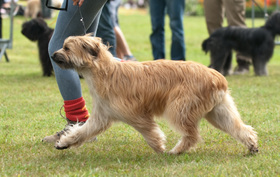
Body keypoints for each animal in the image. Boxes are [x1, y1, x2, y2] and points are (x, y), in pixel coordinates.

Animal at [50, 35, 258, 155]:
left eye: (67, 48)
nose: (52, 55)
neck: (104, 71)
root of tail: (216, 76)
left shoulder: (136, 114)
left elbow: (150, 131)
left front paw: (159, 147)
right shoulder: (101, 117)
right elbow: (82, 131)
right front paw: (65, 143)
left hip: (179, 109)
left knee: (192, 135)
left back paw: (176, 151)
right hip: (219, 112)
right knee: (240, 128)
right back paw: (251, 145)